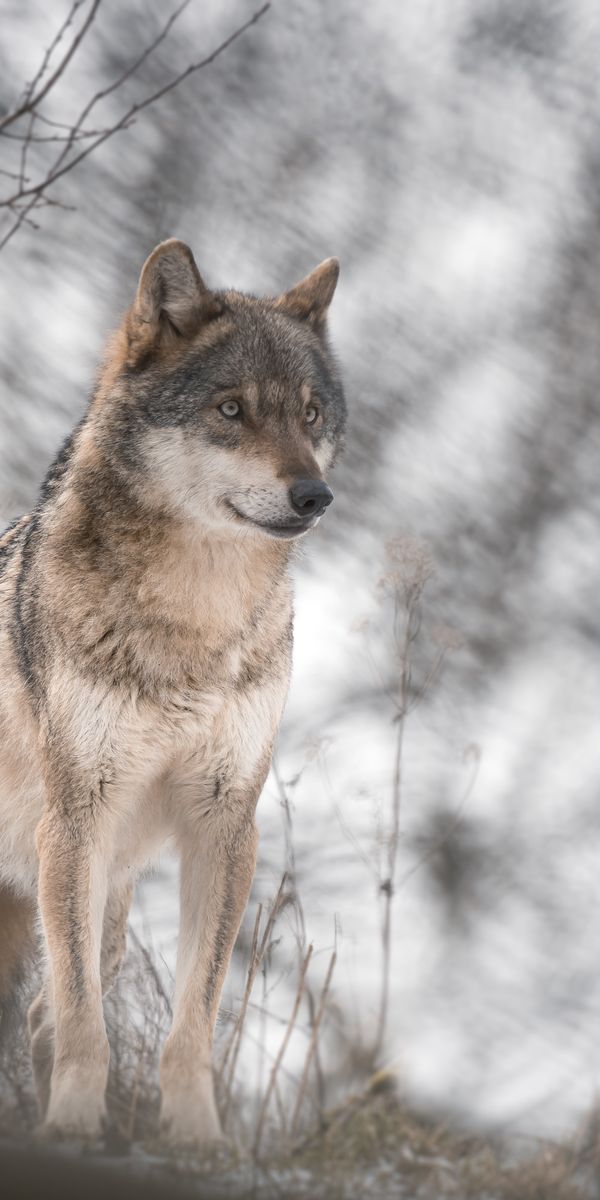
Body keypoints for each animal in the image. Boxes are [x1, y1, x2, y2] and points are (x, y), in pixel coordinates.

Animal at [0, 238, 345, 1147]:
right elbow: (85, 1019)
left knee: (41, 1009)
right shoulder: (76, 821)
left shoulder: (224, 822)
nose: (315, 495)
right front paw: (73, 1121)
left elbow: (196, 1012)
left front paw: (197, 1138)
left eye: (310, 415)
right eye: (230, 409)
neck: (195, 619)